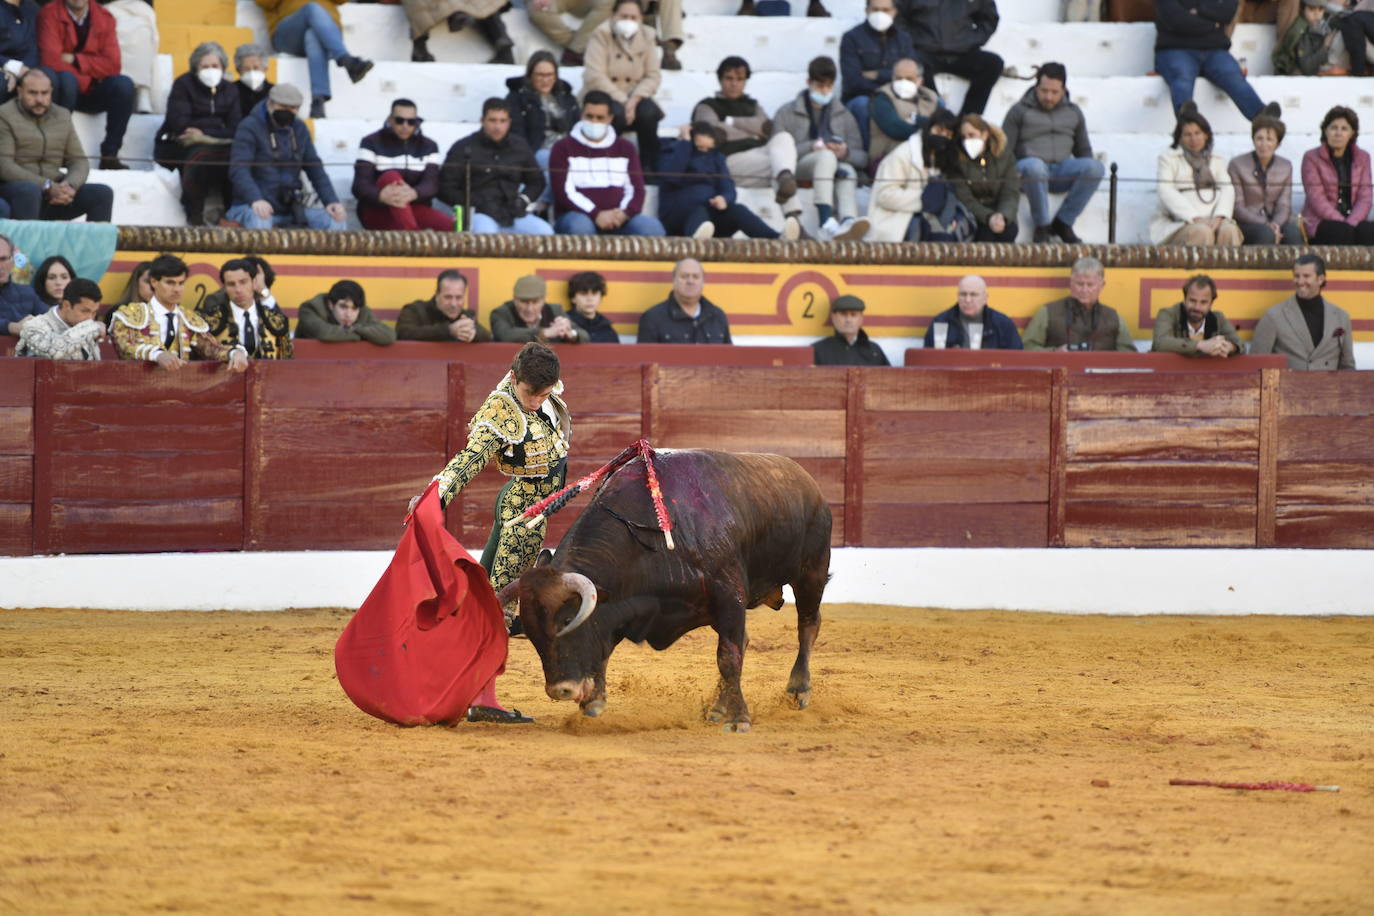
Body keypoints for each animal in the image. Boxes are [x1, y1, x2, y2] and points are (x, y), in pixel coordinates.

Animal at [500, 447, 829, 736]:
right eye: (530, 634)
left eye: (567, 621)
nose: (561, 690)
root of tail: (809, 483)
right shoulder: (623, 604)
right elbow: (604, 648)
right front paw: (593, 701)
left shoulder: (730, 596)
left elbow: (728, 656)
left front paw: (739, 720)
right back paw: (717, 708)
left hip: (811, 573)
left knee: (806, 626)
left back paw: (797, 690)